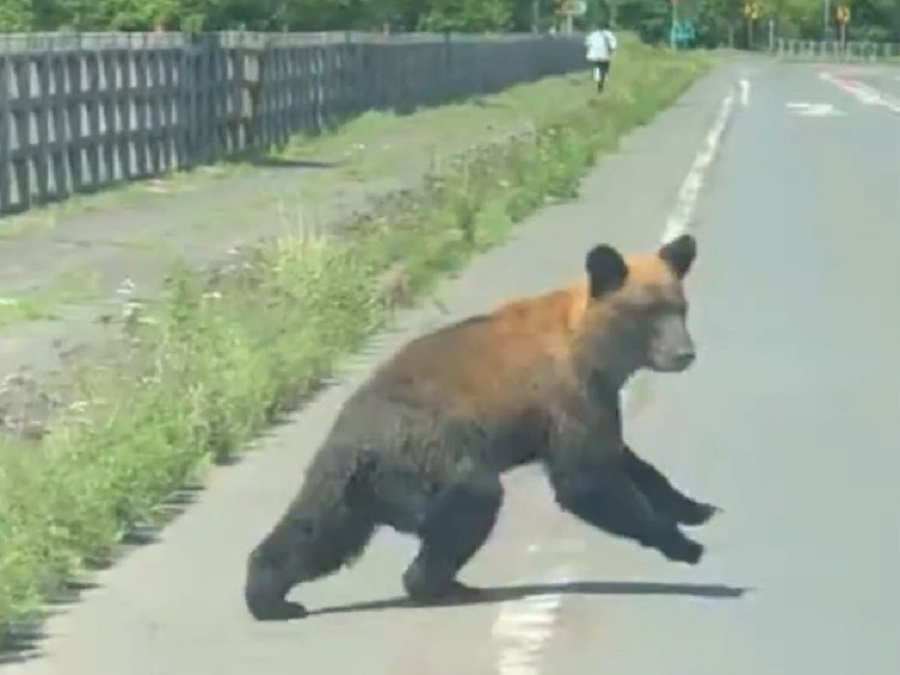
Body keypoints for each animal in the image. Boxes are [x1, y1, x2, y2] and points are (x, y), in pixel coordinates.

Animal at [244, 234, 716, 624]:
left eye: (680, 307)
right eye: (648, 312)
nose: (684, 352)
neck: (593, 349)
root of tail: (350, 440)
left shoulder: (591, 402)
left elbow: (622, 458)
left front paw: (695, 507)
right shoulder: (565, 394)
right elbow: (586, 479)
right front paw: (682, 544)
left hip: (352, 490)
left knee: (316, 534)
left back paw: (270, 598)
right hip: (430, 453)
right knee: (471, 504)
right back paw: (440, 585)